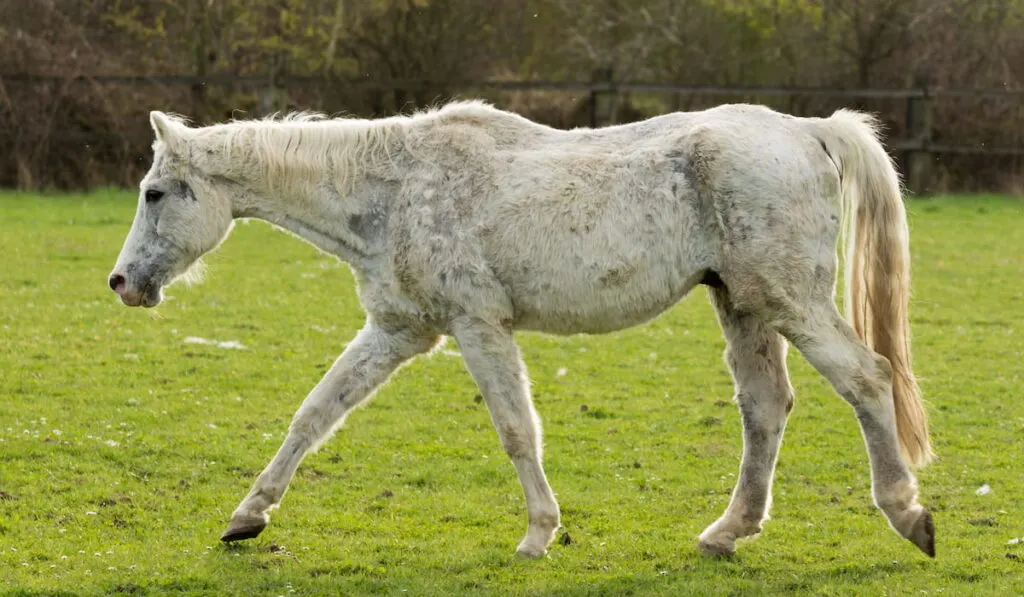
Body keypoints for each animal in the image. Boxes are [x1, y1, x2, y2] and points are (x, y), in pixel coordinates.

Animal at [110, 99, 937, 561]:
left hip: (791, 301)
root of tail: (810, 131)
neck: (396, 186)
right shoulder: (397, 331)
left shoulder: (478, 325)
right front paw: (247, 516)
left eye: (155, 192)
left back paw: (908, 513)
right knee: (765, 410)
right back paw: (727, 532)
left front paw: (539, 533)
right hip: (743, 304)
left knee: (867, 379)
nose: (121, 283)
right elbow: (314, 414)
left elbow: (515, 429)